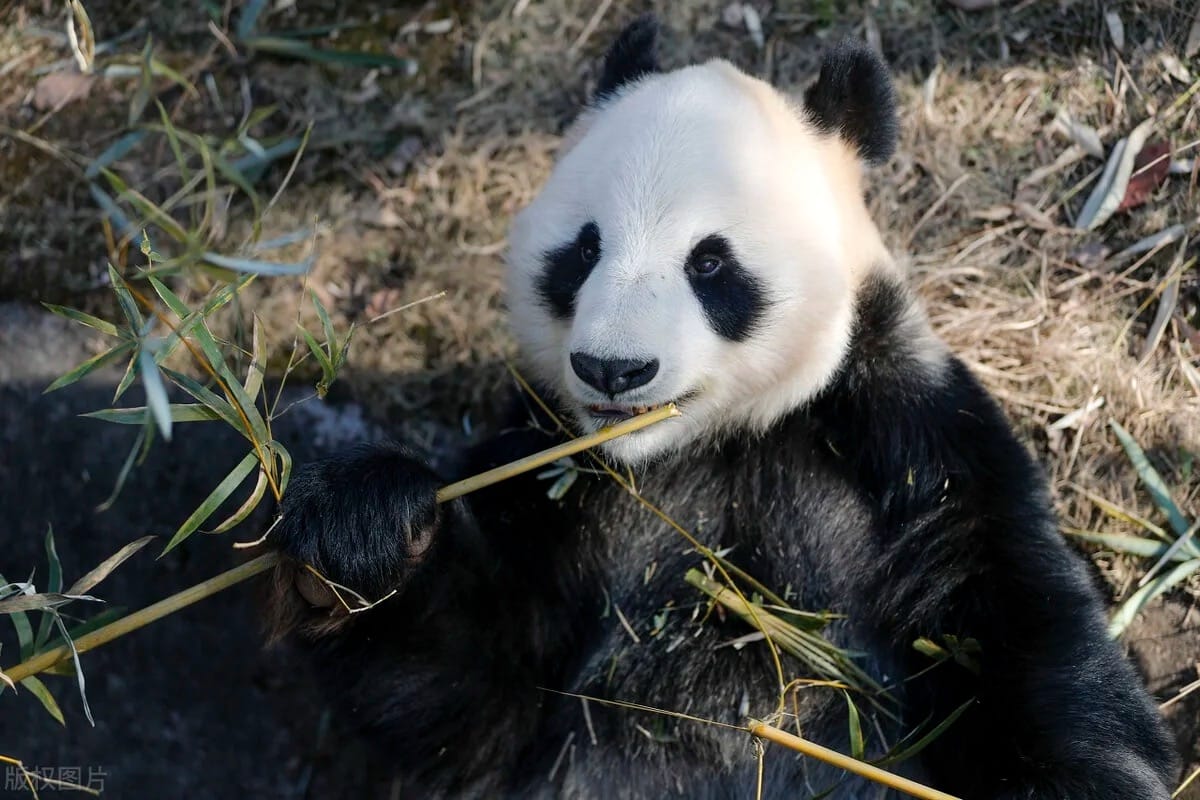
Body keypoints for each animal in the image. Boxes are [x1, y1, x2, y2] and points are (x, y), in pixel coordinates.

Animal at [265, 17, 1178, 799]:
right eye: (583, 250)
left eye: (710, 263)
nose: (614, 369)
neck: (708, 444)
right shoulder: (552, 473)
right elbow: (471, 700)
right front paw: (365, 533)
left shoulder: (903, 437)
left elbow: (1013, 624)